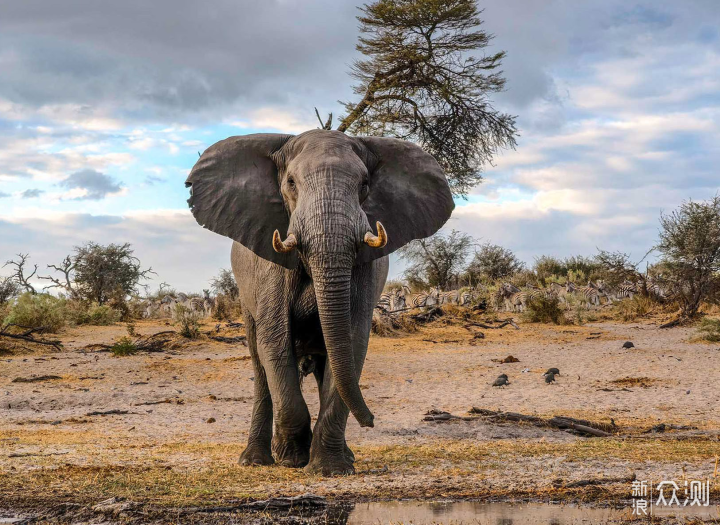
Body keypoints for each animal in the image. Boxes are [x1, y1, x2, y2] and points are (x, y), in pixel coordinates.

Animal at [184, 129, 450, 472]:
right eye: (291, 183)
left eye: (364, 184)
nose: (371, 421)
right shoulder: (269, 263)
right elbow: (275, 341)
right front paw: (291, 457)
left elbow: (351, 341)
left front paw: (331, 468)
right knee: (260, 368)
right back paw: (255, 461)